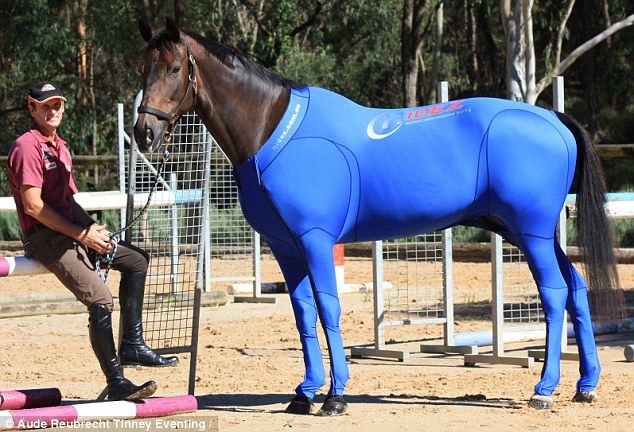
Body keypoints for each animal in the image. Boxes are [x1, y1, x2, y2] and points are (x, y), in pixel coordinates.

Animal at [133, 17, 622, 415]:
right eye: (144, 69)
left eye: (174, 69)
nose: (144, 132)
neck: (273, 129)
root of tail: (553, 119)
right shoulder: (285, 247)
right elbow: (303, 312)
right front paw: (304, 392)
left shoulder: (314, 239)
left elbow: (328, 307)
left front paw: (335, 396)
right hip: (527, 232)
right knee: (577, 287)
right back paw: (585, 386)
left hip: (531, 232)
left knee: (556, 293)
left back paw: (544, 389)